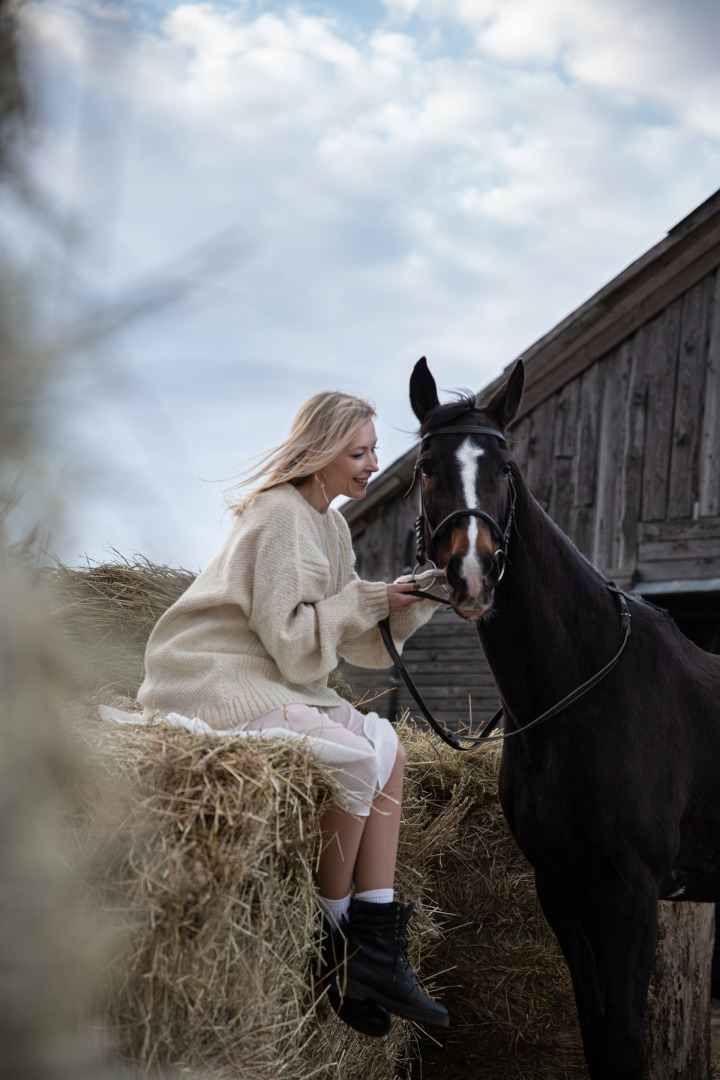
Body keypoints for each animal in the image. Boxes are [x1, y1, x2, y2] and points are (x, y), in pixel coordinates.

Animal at [410, 356, 720, 1080]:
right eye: (427, 465)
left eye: (506, 465)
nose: (474, 571)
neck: (582, 689)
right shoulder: (561, 885)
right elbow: (598, 1034)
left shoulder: (631, 887)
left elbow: (626, 1040)